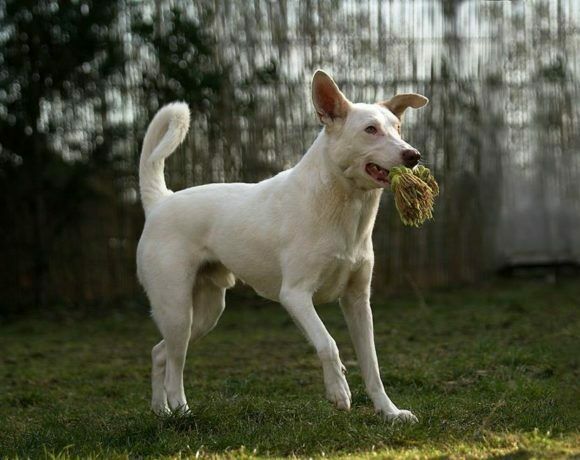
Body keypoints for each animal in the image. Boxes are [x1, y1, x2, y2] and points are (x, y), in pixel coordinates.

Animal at [136, 71, 426, 420]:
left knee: (158, 353)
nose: (413, 155)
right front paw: (339, 392)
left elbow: (372, 364)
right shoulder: (295, 296)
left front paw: (390, 412)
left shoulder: (358, 301)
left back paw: (161, 412)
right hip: (178, 309)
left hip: (206, 313)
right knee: (174, 366)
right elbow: (328, 343)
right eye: (370, 129)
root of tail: (160, 201)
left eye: (397, 128)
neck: (344, 207)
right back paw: (181, 412)